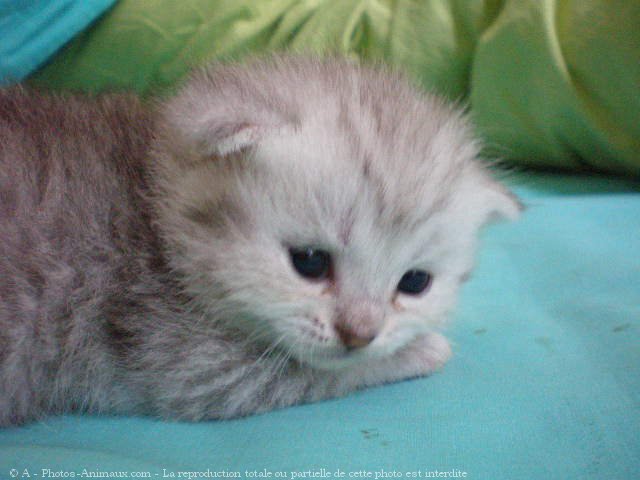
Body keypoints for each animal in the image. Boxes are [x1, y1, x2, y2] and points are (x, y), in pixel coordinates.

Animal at [0, 54, 520, 426]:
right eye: (309, 262)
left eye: (414, 283)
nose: (360, 333)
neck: (149, 209)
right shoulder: (183, 361)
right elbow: (321, 373)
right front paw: (422, 351)